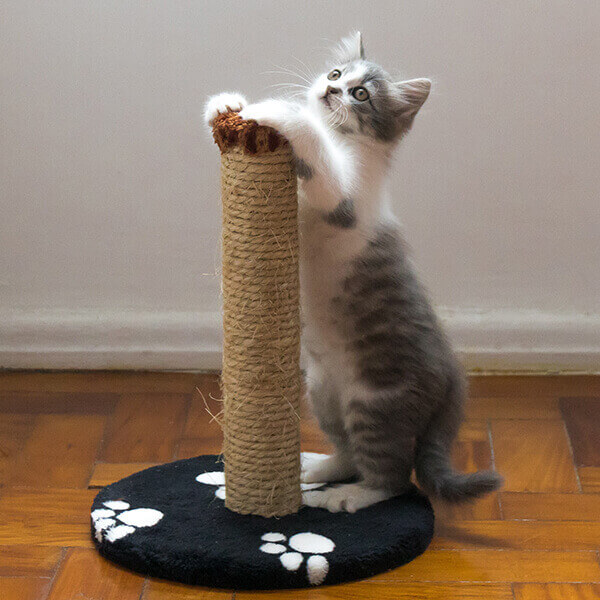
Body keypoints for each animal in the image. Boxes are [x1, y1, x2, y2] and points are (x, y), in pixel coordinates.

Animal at [206, 31, 502, 510]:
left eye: (360, 94)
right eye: (336, 73)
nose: (331, 91)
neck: (340, 136)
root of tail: (451, 377)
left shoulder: (345, 198)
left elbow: (317, 156)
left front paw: (281, 113)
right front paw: (227, 104)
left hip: (376, 405)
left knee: (394, 477)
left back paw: (348, 497)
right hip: (323, 392)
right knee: (348, 452)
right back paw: (320, 469)